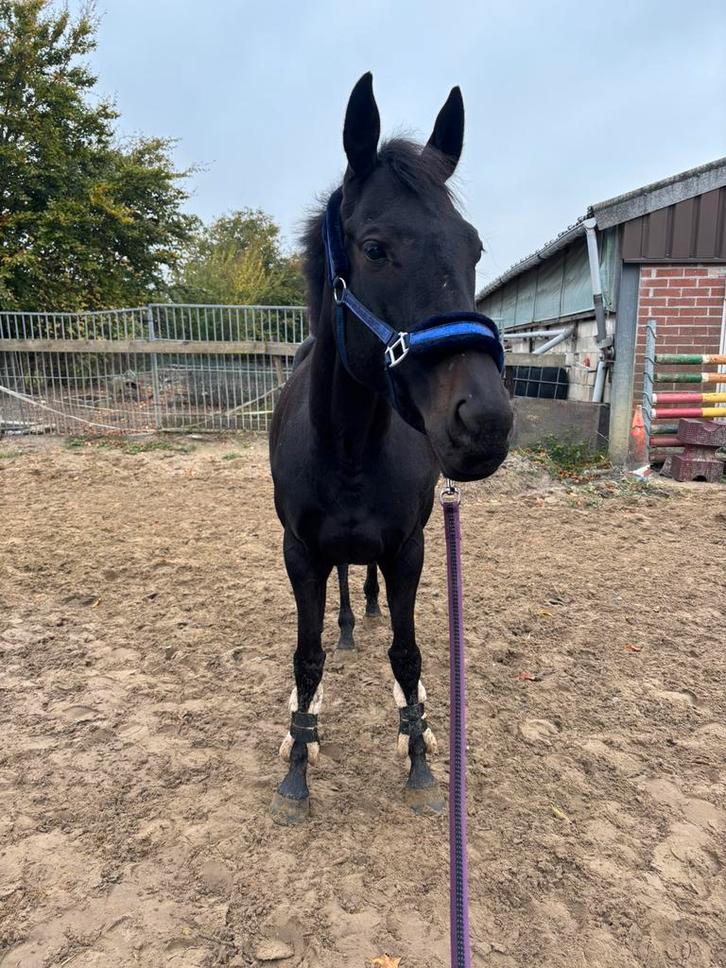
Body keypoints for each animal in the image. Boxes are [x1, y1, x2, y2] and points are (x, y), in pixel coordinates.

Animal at [269, 73, 513, 824]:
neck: (349, 447)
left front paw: (420, 756)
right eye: (375, 247)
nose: (485, 420)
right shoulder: (300, 553)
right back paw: (351, 624)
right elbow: (307, 657)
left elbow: (408, 656)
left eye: (474, 248)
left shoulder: (410, 549)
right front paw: (298, 761)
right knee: (345, 586)